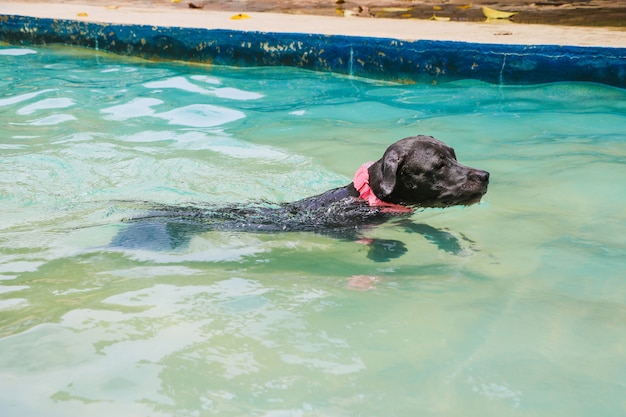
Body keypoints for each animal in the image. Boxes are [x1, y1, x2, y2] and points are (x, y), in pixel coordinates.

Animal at [112, 135, 488, 256]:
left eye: (454, 154)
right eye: (439, 165)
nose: (485, 176)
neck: (365, 198)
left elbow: (423, 227)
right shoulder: (341, 228)